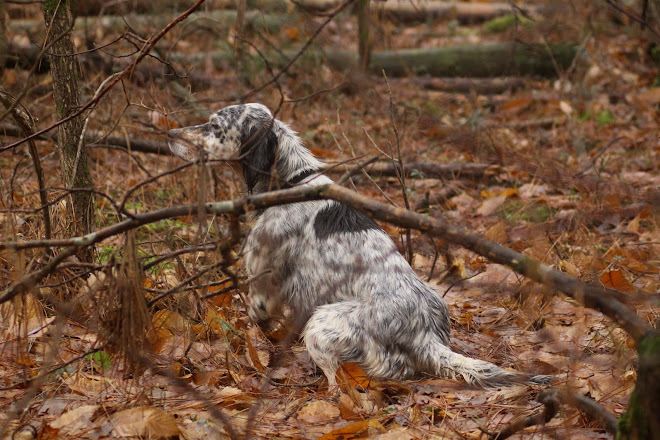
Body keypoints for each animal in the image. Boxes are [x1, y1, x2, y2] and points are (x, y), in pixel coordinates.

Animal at [166, 104, 552, 388]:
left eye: (213, 126)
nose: (169, 133)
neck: (292, 182)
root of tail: (424, 333)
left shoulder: (263, 286)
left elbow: (254, 322)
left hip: (322, 322)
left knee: (342, 380)